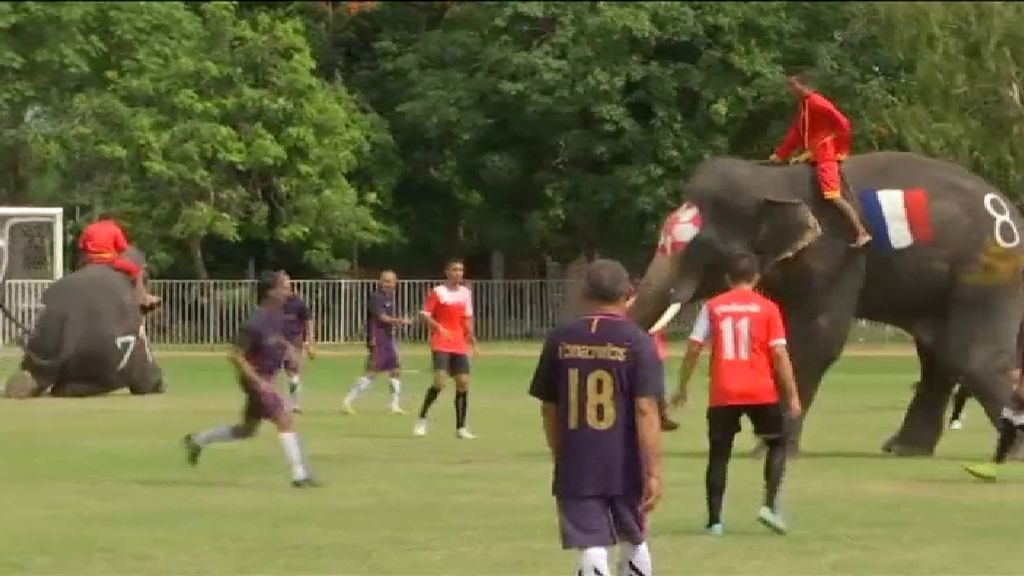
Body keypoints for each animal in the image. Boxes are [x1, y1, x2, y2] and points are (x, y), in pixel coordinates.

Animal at [630, 150, 1024, 455]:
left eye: (703, 248)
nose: (669, 420)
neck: (774, 181)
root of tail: (1012, 212)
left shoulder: (837, 254)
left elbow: (817, 336)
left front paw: (768, 451)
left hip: (985, 272)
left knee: (973, 357)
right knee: (941, 357)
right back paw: (902, 449)